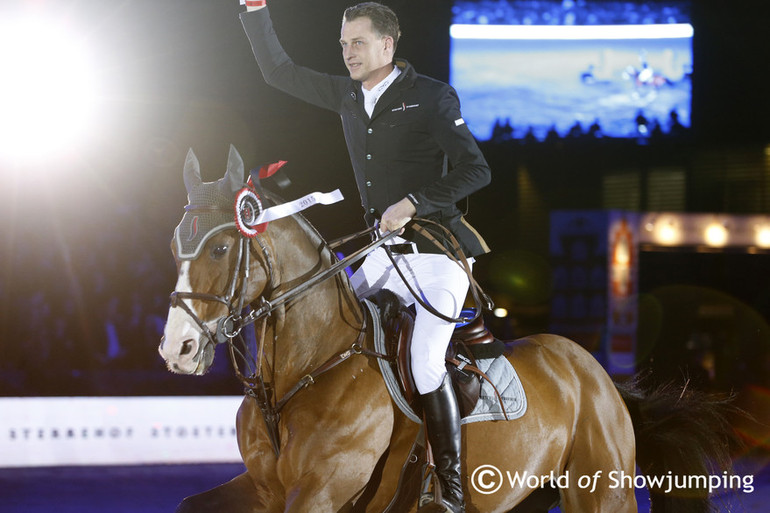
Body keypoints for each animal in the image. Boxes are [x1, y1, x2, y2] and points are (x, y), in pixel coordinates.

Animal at [158, 146, 732, 510]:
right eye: (173, 246)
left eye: (220, 247)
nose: (177, 349)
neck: (304, 371)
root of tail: (594, 372)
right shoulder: (264, 489)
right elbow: (188, 503)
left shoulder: (320, 491)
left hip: (602, 492)